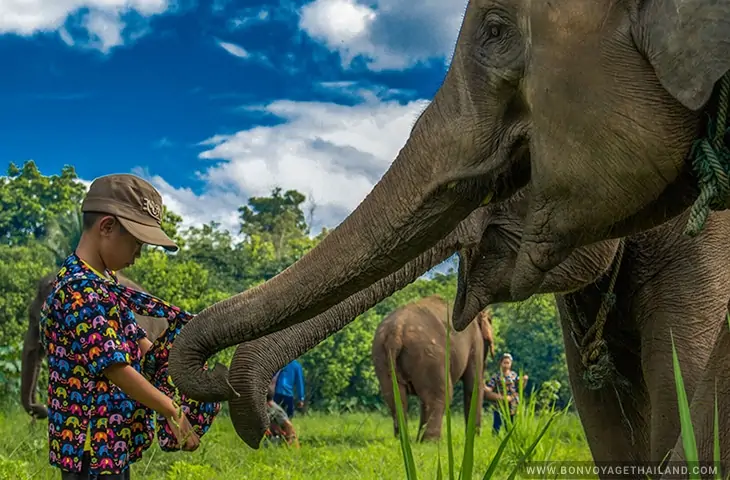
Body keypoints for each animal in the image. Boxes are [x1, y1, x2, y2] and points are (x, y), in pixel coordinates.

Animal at [370, 294, 494, 440]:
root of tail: (396, 331)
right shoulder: (476, 341)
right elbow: (473, 386)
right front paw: (473, 439)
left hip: (381, 355)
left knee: (396, 398)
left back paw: (404, 439)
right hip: (429, 356)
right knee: (440, 394)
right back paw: (430, 441)